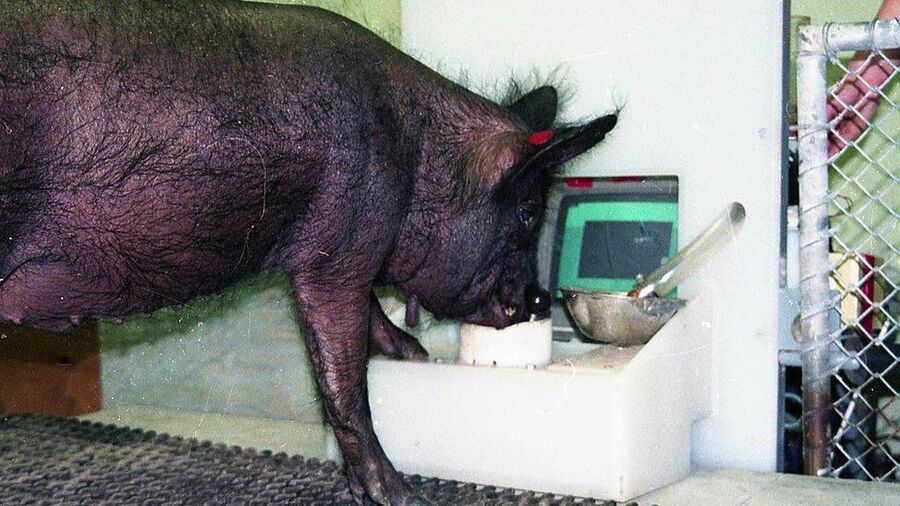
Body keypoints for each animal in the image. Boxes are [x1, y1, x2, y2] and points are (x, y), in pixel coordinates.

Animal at [0, 1, 617, 504]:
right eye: (529, 211)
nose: (540, 299)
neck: (417, 160)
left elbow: (370, 319)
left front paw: (414, 355)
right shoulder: (339, 247)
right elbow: (345, 382)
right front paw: (404, 497)